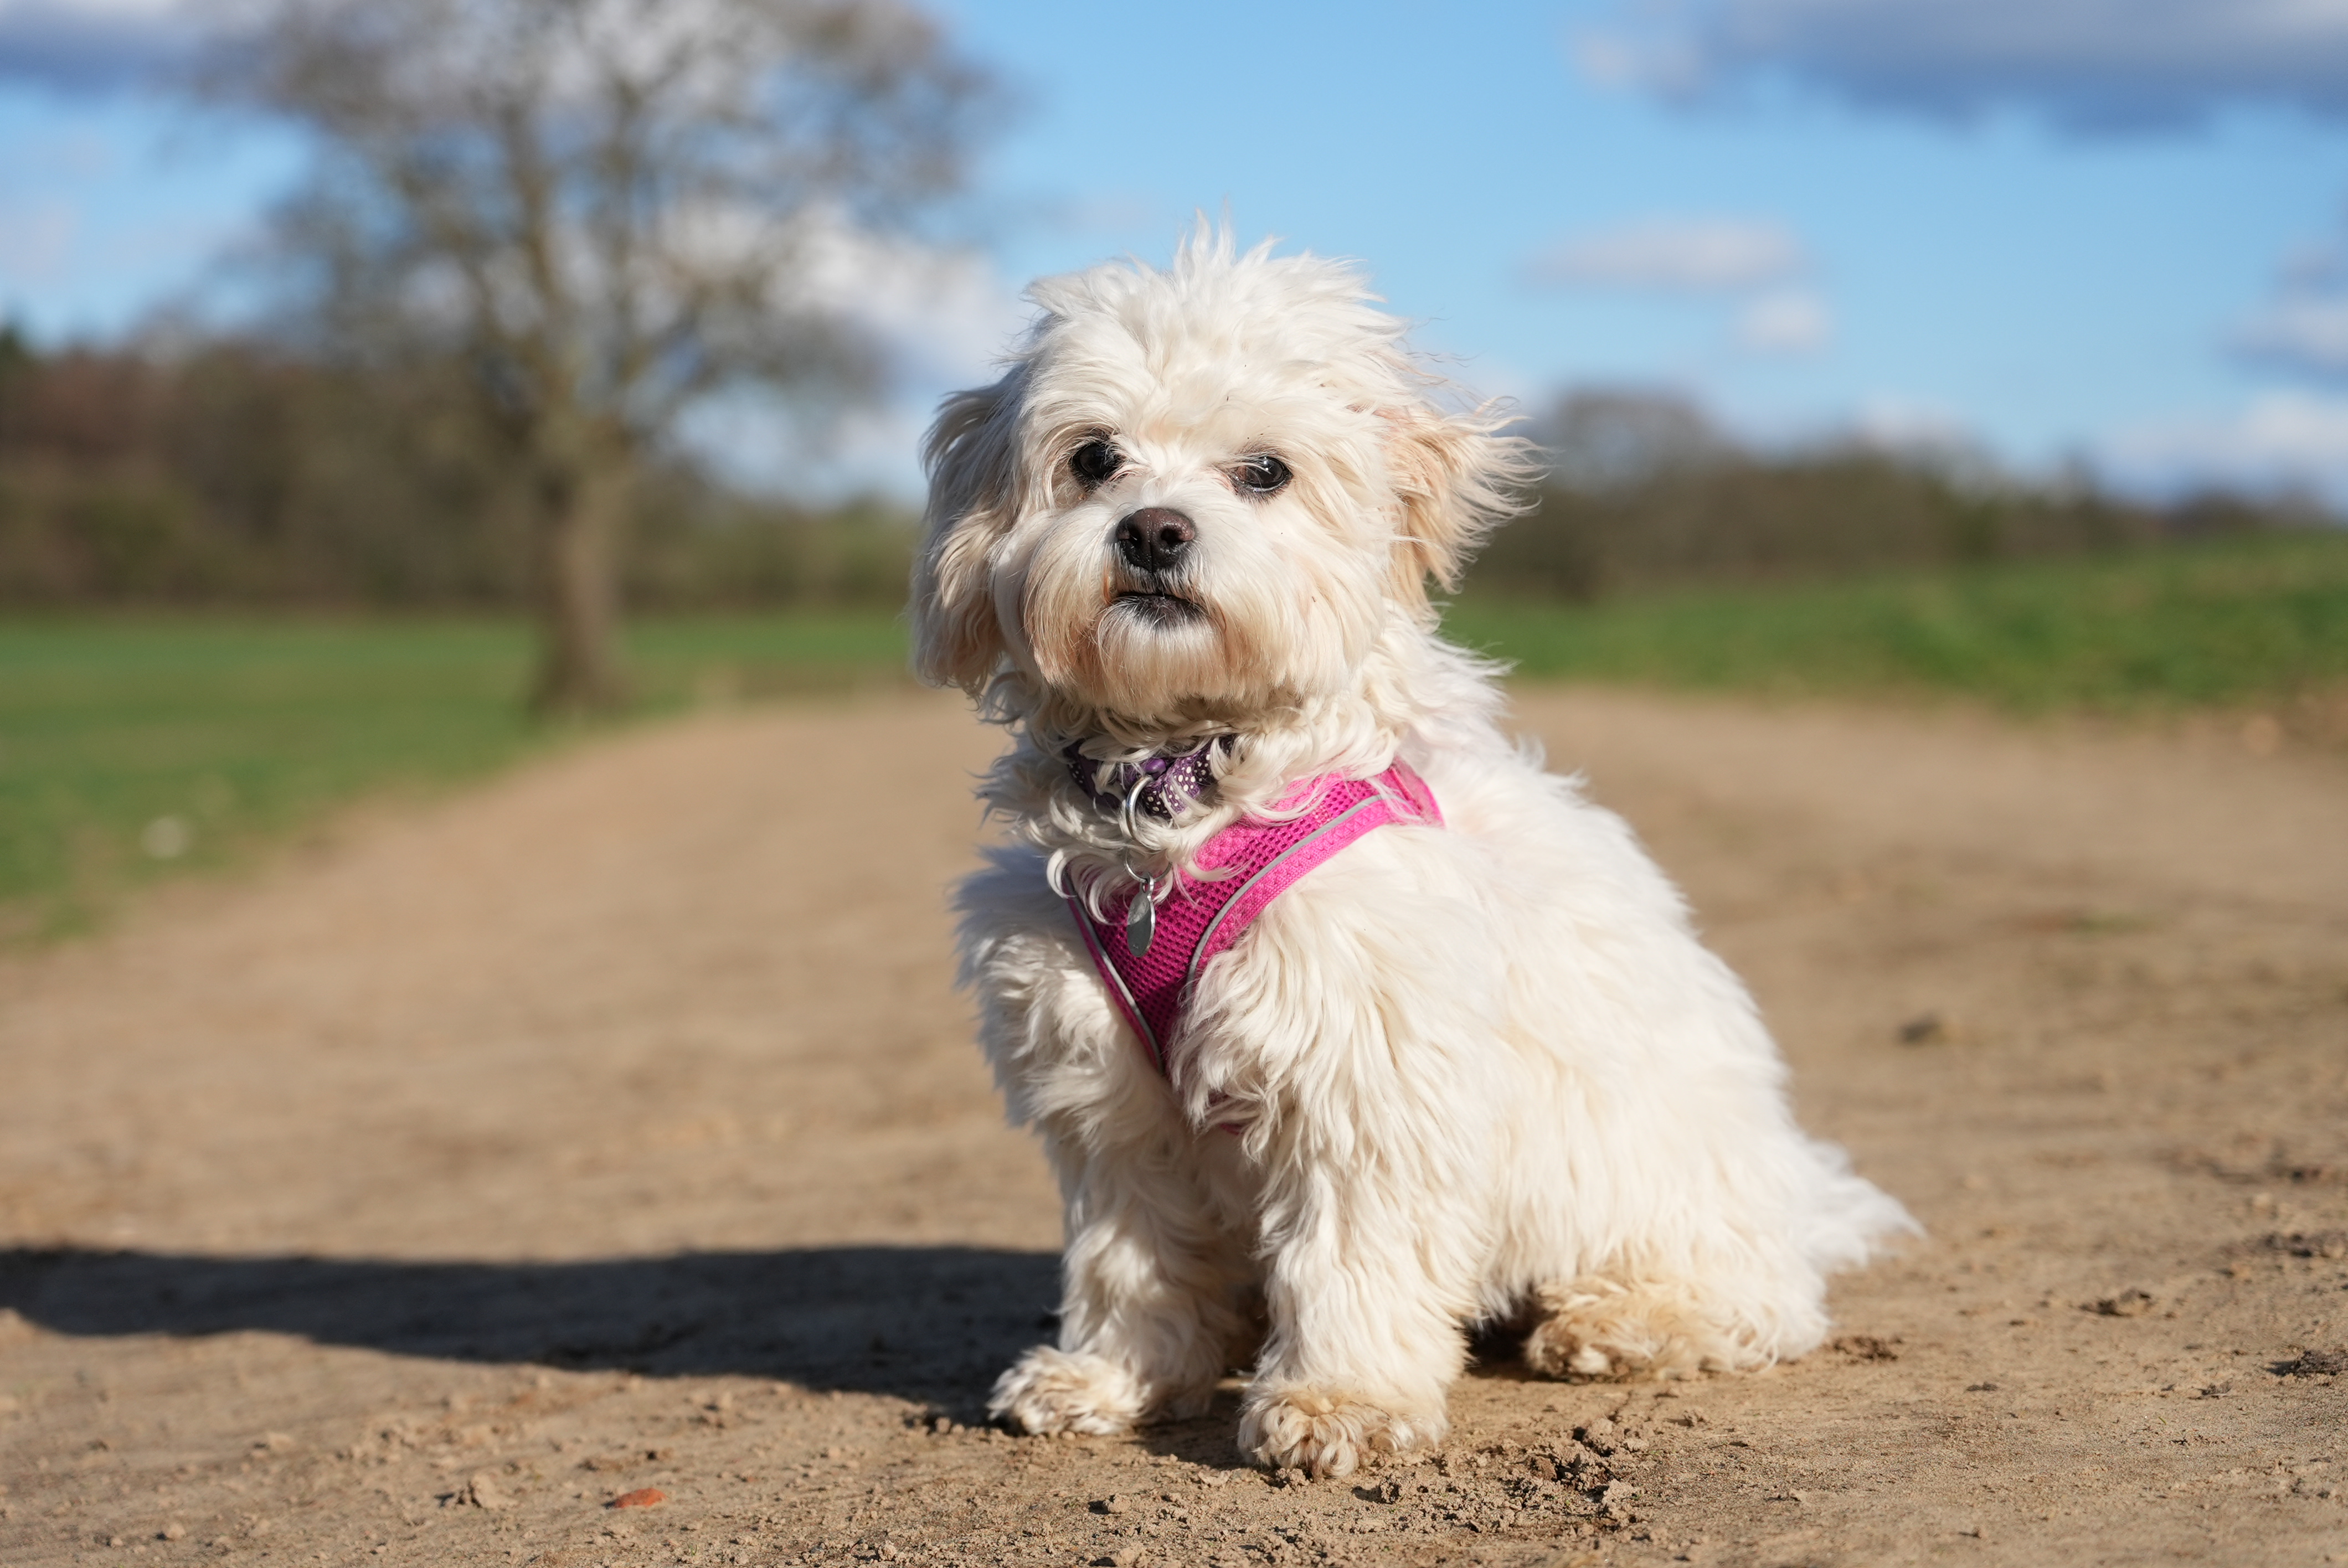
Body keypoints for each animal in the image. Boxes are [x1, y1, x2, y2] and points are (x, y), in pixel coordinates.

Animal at [906, 226, 1916, 1474]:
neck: (1184, 792)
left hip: (1657, 1187)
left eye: (1264, 472)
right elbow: (1131, 1259)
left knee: (1763, 1301)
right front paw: (1108, 1377)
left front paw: (1339, 1401)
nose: (1152, 529)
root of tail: (1799, 1197)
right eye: (1093, 458)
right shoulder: (1106, 1097)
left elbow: (1352, 1257)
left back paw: (1623, 1321)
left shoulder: (1361, 1070)